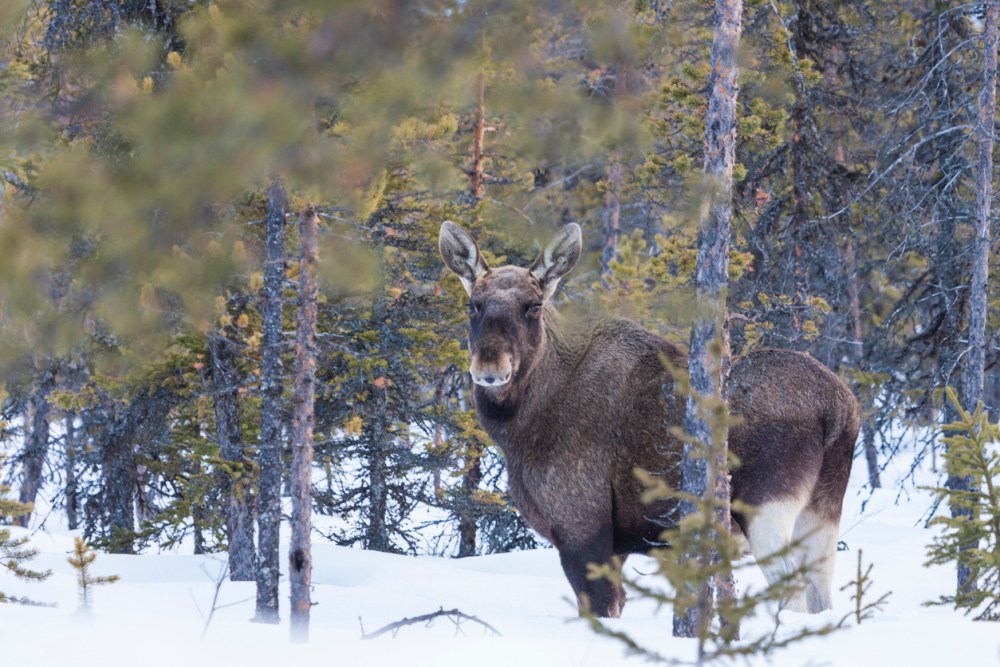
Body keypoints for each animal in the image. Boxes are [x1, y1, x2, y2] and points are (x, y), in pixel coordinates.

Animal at [438, 222, 860, 620]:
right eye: (474, 305)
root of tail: (840, 410)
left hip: (765, 508)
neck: (521, 427)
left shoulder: (581, 523)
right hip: (821, 510)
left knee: (795, 597)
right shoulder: (619, 544)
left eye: (533, 306)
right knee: (822, 598)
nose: (490, 368)